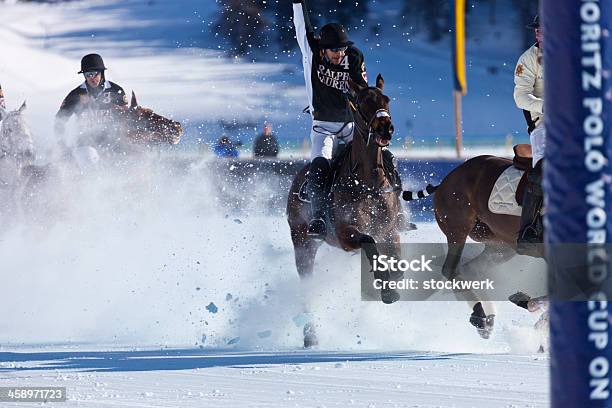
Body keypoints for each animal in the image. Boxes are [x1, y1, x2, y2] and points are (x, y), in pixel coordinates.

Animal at [288, 73, 404, 348]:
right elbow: (369, 242)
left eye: (386, 99)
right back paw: (310, 337)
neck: (368, 182)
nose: (386, 128)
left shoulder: (391, 232)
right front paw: (387, 290)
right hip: (303, 242)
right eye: (362, 102)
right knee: (306, 286)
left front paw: (390, 282)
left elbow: (398, 264)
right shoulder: (345, 233)